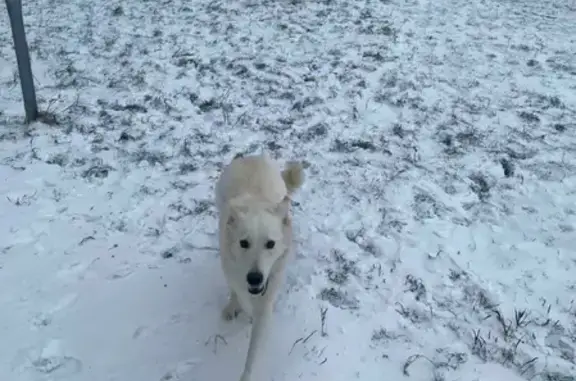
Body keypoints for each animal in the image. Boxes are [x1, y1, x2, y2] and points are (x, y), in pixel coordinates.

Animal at [215, 151, 306, 380]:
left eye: (270, 244)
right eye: (244, 243)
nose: (254, 278)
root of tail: (252, 156)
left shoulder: (266, 302)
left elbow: (253, 355)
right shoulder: (233, 271)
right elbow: (237, 292)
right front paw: (236, 306)